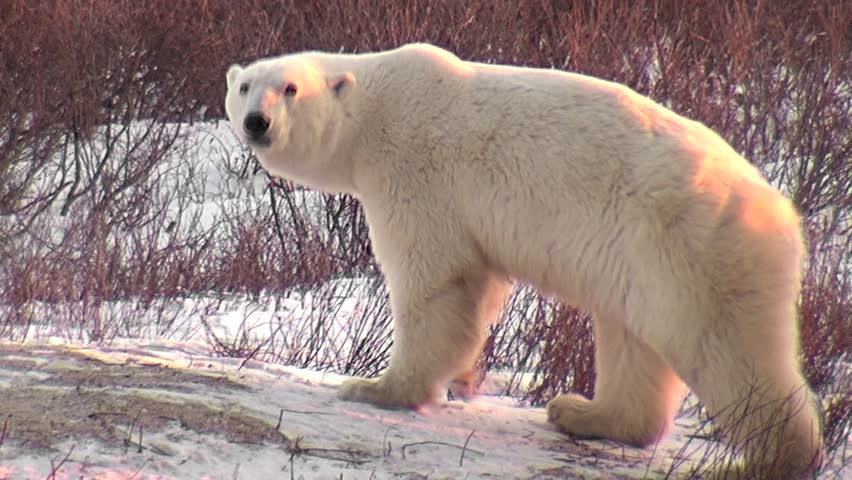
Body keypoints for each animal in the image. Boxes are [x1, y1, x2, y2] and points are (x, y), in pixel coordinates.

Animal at [224, 43, 823, 478]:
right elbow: (476, 286)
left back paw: (768, 458)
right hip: (643, 261)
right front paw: (465, 380)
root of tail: (780, 211)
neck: (378, 104)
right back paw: (583, 412)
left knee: (724, 346)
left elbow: (436, 280)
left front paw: (376, 388)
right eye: (246, 85)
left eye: (290, 88)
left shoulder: (414, 170)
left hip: (689, 244)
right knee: (632, 338)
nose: (257, 122)